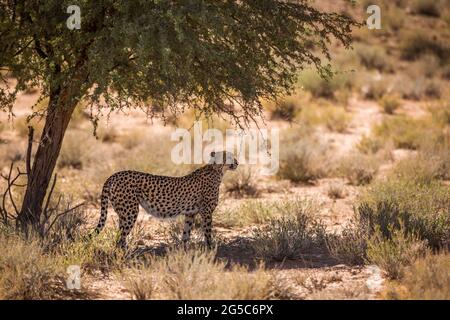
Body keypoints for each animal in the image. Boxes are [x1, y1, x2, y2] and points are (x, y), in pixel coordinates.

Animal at [94, 151, 239, 249]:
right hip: (130, 211)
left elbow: (186, 234)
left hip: (122, 213)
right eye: (230, 157)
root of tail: (114, 175)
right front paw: (210, 249)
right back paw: (126, 255)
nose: (237, 162)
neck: (216, 170)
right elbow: (208, 233)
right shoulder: (207, 213)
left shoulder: (190, 214)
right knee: (121, 237)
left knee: (119, 235)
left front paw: (184, 252)